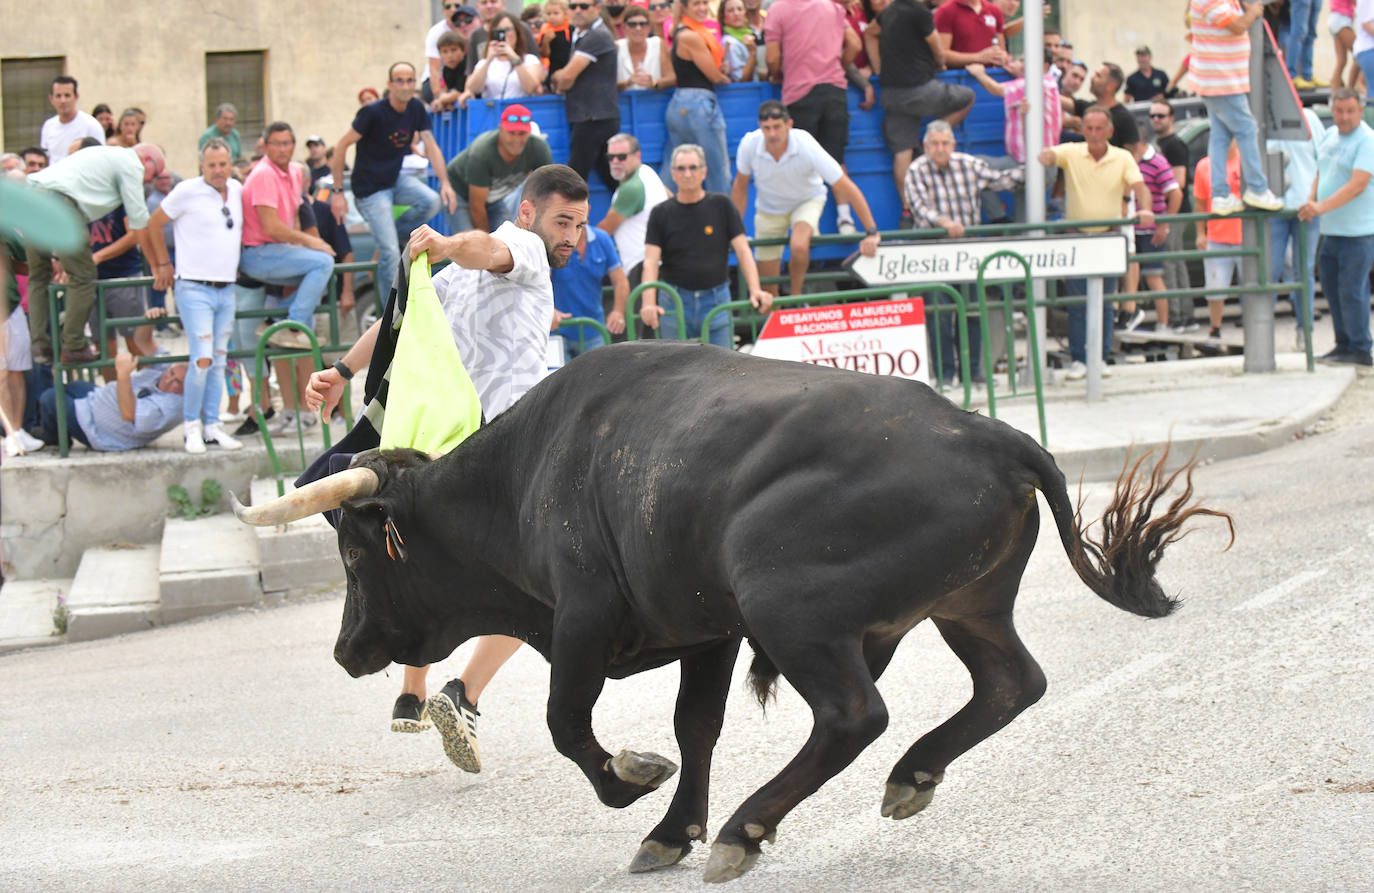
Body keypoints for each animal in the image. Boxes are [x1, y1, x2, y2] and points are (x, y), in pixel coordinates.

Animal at [230, 344, 1231, 879]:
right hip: (968, 603)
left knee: (854, 713)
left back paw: (753, 826)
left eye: (354, 554)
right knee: (1009, 682)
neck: (523, 475)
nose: (346, 648)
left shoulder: (586, 614)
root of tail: (987, 431)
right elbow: (697, 725)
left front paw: (633, 782)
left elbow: (569, 722)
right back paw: (910, 776)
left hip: (790, 604)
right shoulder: (702, 628)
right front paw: (671, 826)